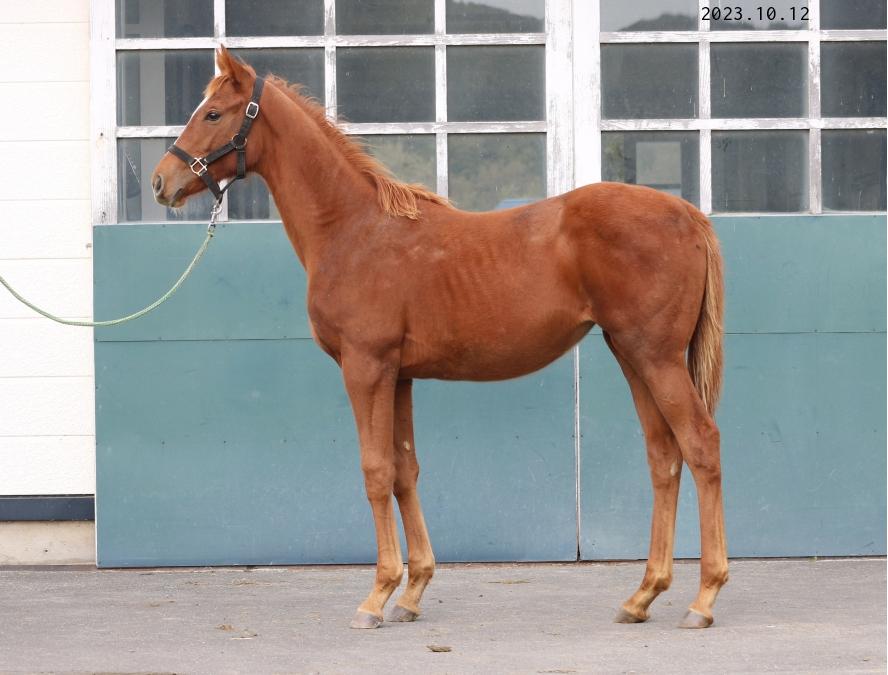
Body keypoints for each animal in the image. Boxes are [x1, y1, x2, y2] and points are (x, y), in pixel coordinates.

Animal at [152, 47, 728, 630]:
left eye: (214, 114)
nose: (161, 181)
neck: (355, 230)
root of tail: (689, 214)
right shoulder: (400, 376)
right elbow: (406, 471)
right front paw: (412, 591)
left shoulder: (365, 368)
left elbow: (376, 470)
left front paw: (377, 596)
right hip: (632, 355)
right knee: (664, 455)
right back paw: (642, 595)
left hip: (656, 358)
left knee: (700, 445)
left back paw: (703, 598)